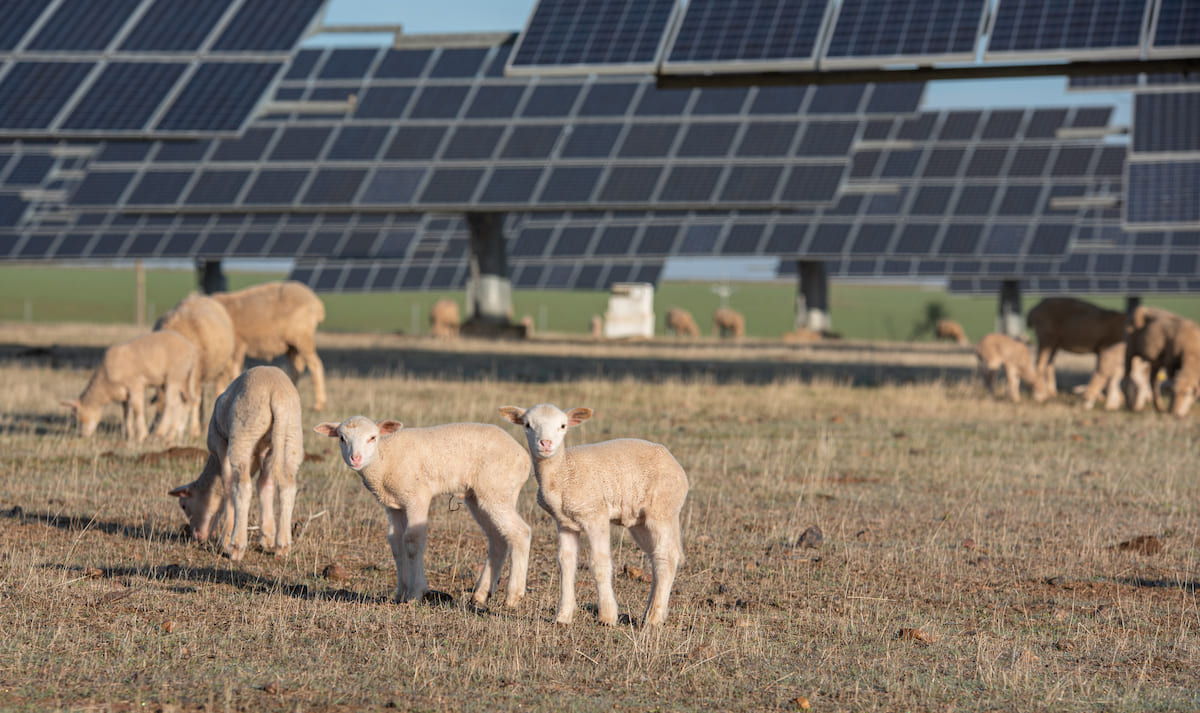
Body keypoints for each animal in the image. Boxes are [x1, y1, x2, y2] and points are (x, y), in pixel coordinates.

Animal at [153, 291, 235, 436]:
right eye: (157, 409)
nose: (157, 434)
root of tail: (196, 295)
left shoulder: (197, 373)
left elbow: (194, 402)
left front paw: (194, 431)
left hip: (222, 367)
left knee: (218, 389)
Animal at [171, 367, 307, 561]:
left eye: (183, 505)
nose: (197, 537)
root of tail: (277, 395)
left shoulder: (221, 445)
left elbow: (228, 487)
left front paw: (226, 539)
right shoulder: (264, 451)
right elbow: (264, 485)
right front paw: (267, 537)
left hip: (244, 431)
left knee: (242, 487)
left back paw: (237, 547)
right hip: (291, 435)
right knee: (288, 486)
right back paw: (283, 546)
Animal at [210, 280, 324, 408]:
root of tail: (315, 301)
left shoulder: (238, 345)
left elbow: (231, 372)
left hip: (302, 338)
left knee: (315, 364)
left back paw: (319, 403)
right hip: (291, 345)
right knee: (297, 367)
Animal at [314, 412, 530, 602]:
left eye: (372, 437)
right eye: (342, 438)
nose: (355, 459)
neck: (384, 459)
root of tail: (524, 457)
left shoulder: (417, 496)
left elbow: (412, 540)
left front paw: (415, 593)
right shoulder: (394, 504)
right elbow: (396, 542)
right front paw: (400, 593)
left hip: (496, 488)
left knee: (520, 532)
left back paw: (512, 596)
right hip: (481, 495)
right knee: (498, 539)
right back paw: (480, 595)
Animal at [494, 403, 686, 624]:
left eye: (563, 426)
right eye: (527, 425)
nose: (546, 443)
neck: (562, 472)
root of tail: (676, 466)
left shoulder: (595, 515)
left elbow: (599, 563)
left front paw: (607, 616)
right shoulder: (564, 522)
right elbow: (566, 563)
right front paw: (563, 616)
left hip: (662, 509)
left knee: (666, 557)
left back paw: (653, 619)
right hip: (640, 521)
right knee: (656, 558)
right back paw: (652, 612)